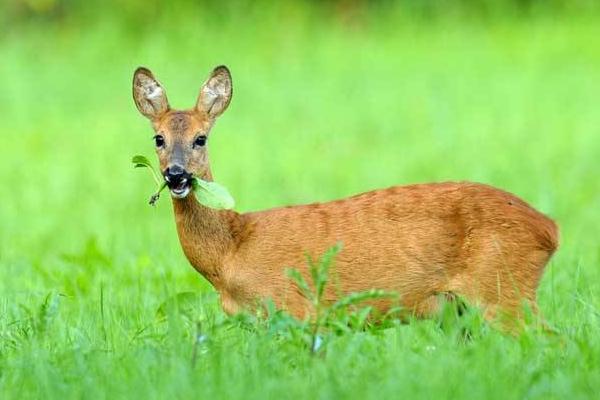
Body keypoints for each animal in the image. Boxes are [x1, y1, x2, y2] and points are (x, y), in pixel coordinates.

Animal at [131, 66, 556, 328]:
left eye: (201, 138)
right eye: (159, 139)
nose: (176, 175)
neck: (232, 253)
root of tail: (549, 229)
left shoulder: (295, 310)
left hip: (502, 289)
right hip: (463, 312)